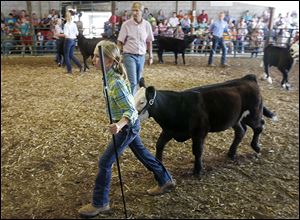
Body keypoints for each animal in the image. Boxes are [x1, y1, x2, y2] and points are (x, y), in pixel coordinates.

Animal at [135, 75, 278, 176]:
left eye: (142, 102)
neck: (179, 105)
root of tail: (249, 78)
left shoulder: (200, 132)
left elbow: (197, 150)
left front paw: (197, 170)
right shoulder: (169, 130)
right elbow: (159, 145)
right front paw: (158, 164)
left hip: (253, 114)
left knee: (259, 126)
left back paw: (256, 147)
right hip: (235, 119)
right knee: (241, 131)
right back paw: (231, 153)